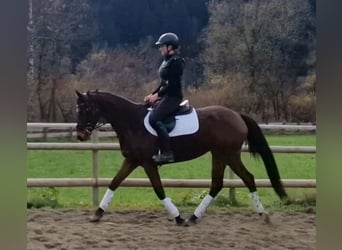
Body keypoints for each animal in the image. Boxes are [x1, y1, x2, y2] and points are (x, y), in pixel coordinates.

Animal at [75, 90, 288, 227]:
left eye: (87, 109)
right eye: (78, 110)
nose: (80, 135)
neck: (132, 122)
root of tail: (237, 115)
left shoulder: (148, 163)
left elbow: (159, 190)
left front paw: (177, 217)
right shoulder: (132, 160)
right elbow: (114, 182)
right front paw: (97, 214)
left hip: (227, 154)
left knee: (246, 178)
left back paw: (263, 215)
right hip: (220, 155)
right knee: (219, 184)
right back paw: (194, 218)